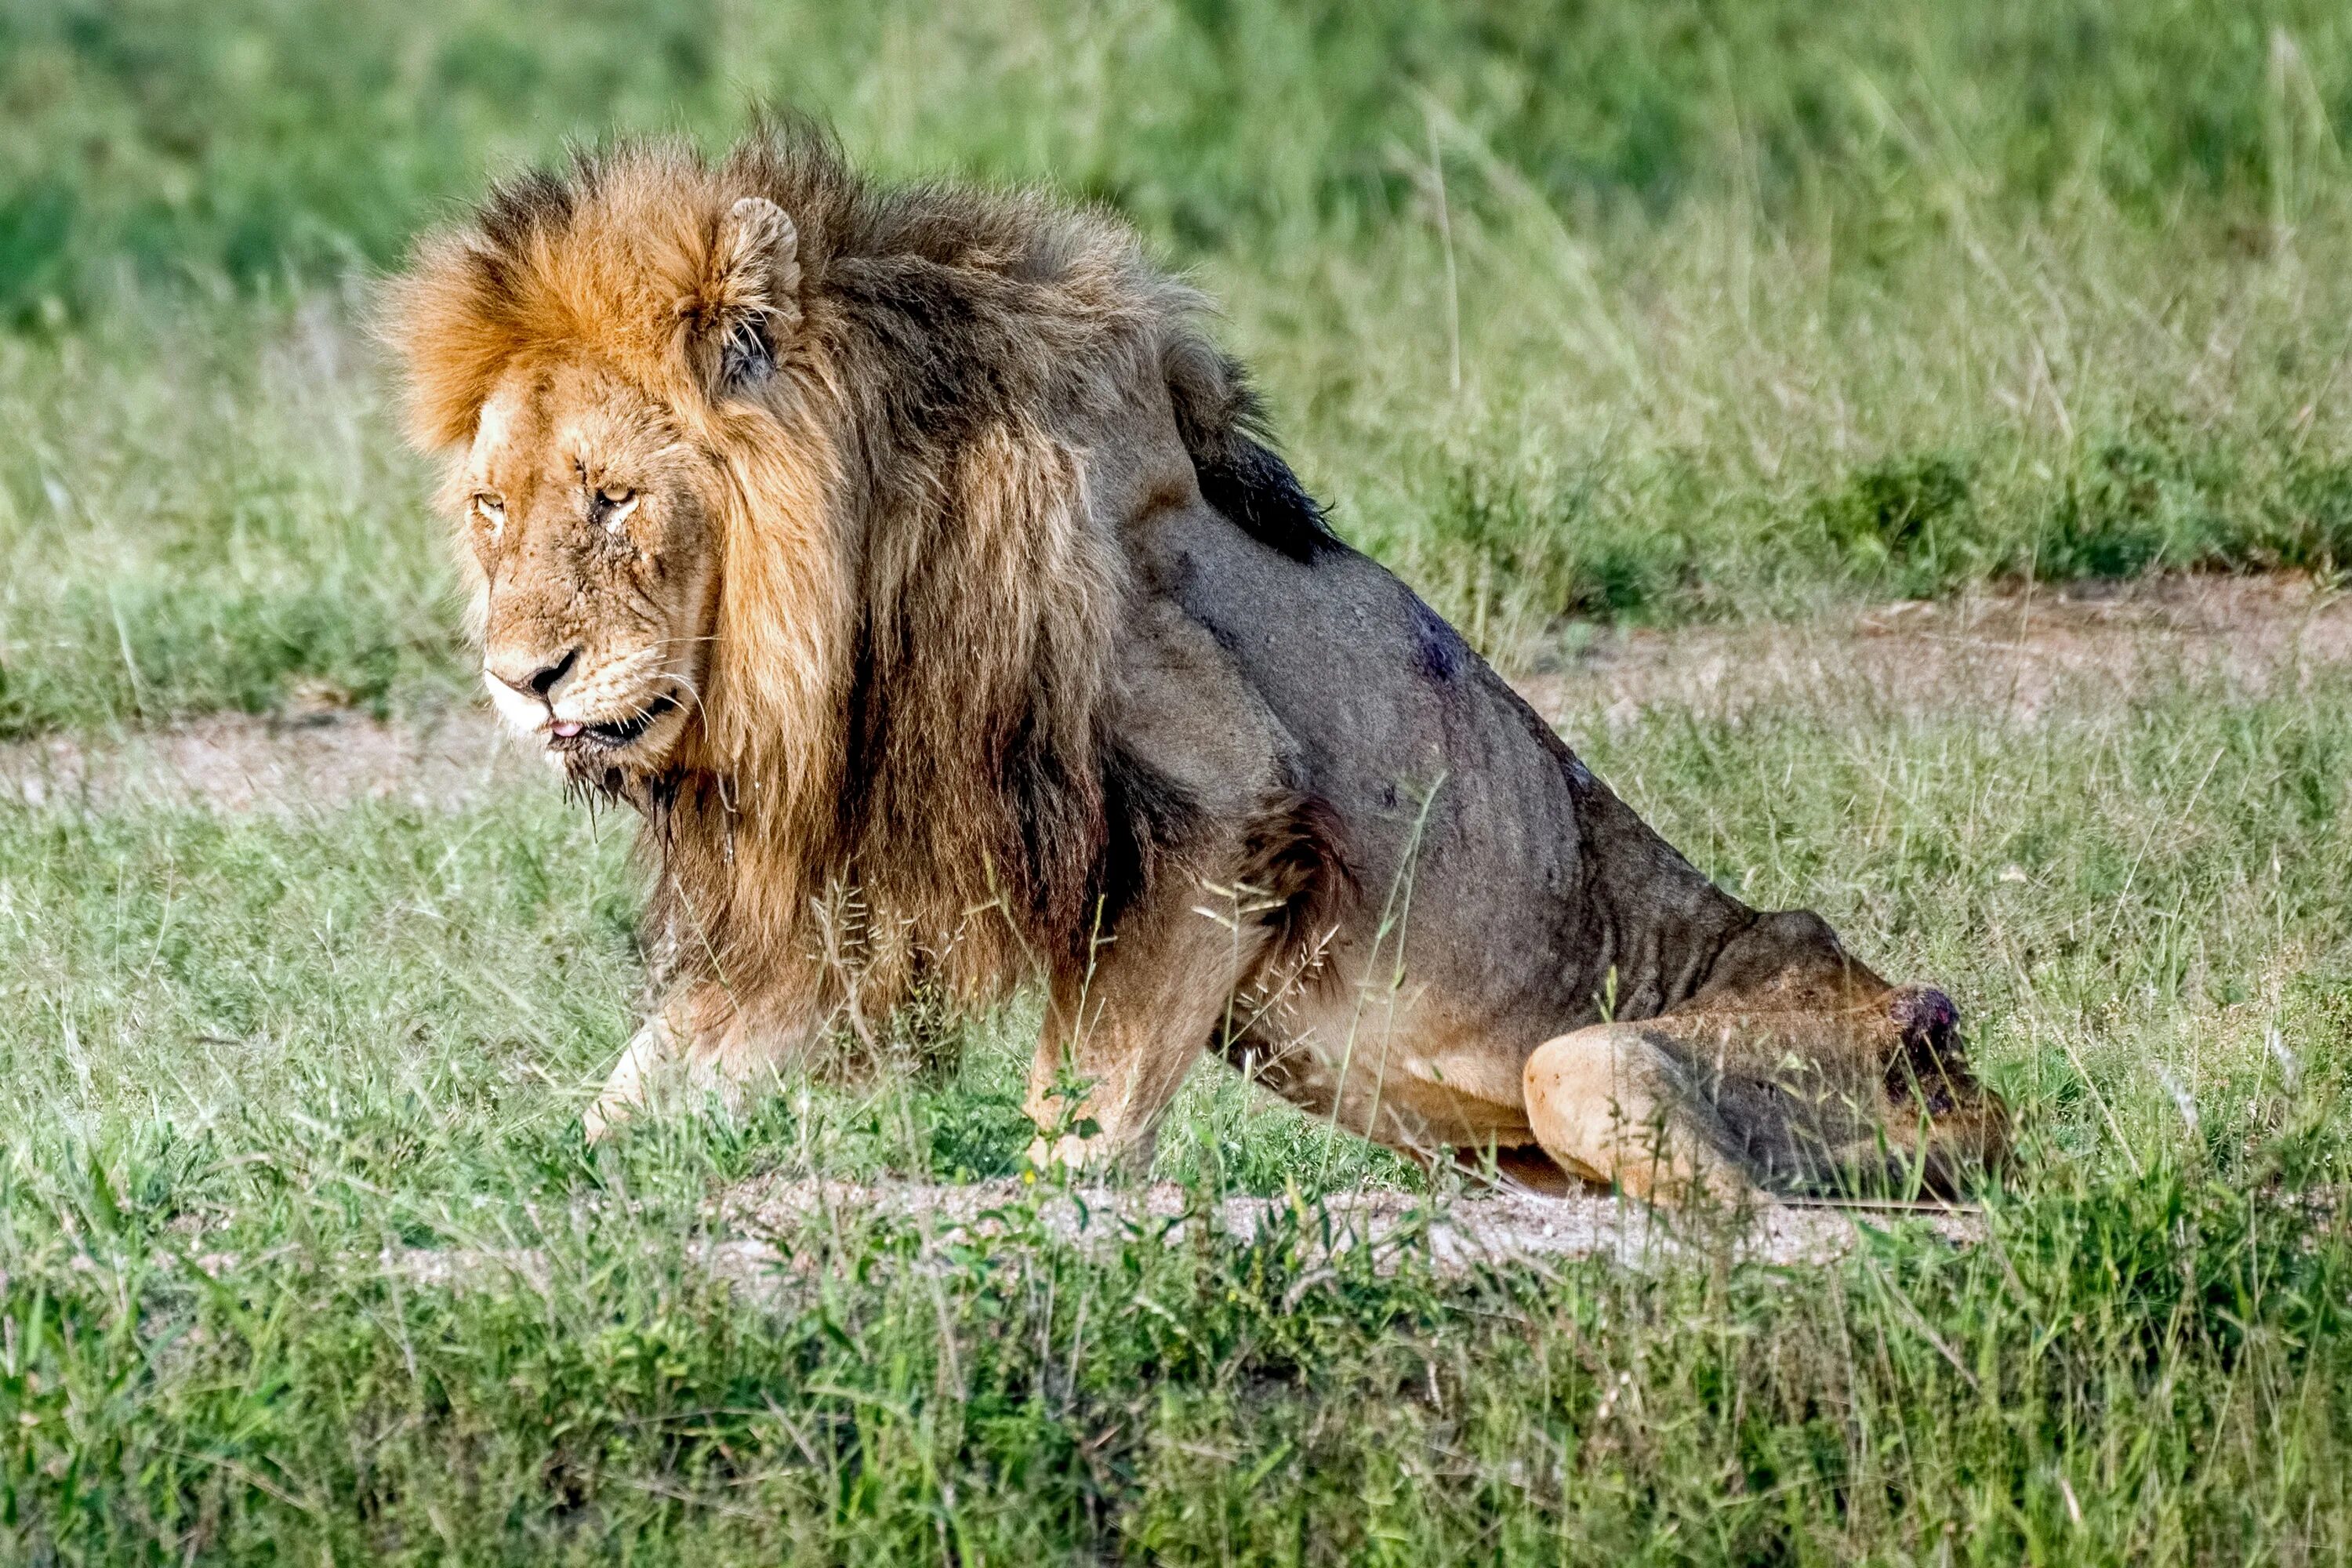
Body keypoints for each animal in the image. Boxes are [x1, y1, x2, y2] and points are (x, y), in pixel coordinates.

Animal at [390, 129, 2004, 1213]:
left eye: (615, 501)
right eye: (492, 511)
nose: (524, 678)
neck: (859, 584)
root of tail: (1969, 1078)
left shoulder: (1226, 806)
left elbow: (1082, 1117)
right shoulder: (851, 892)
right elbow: (645, 1082)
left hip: (1654, 1068)